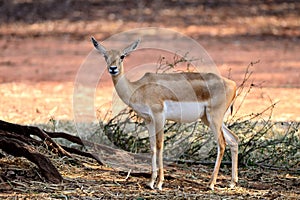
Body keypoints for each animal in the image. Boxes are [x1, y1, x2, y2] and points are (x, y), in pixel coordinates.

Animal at [91, 37, 239, 191]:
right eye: (105, 56)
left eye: (122, 56)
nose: (113, 69)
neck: (140, 88)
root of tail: (233, 84)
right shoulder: (148, 120)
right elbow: (152, 148)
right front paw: (151, 182)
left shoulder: (159, 116)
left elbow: (159, 145)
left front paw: (160, 183)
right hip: (209, 119)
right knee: (233, 139)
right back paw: (232, 182)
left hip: (214, 118)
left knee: (222, 144)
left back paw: (211, 184)